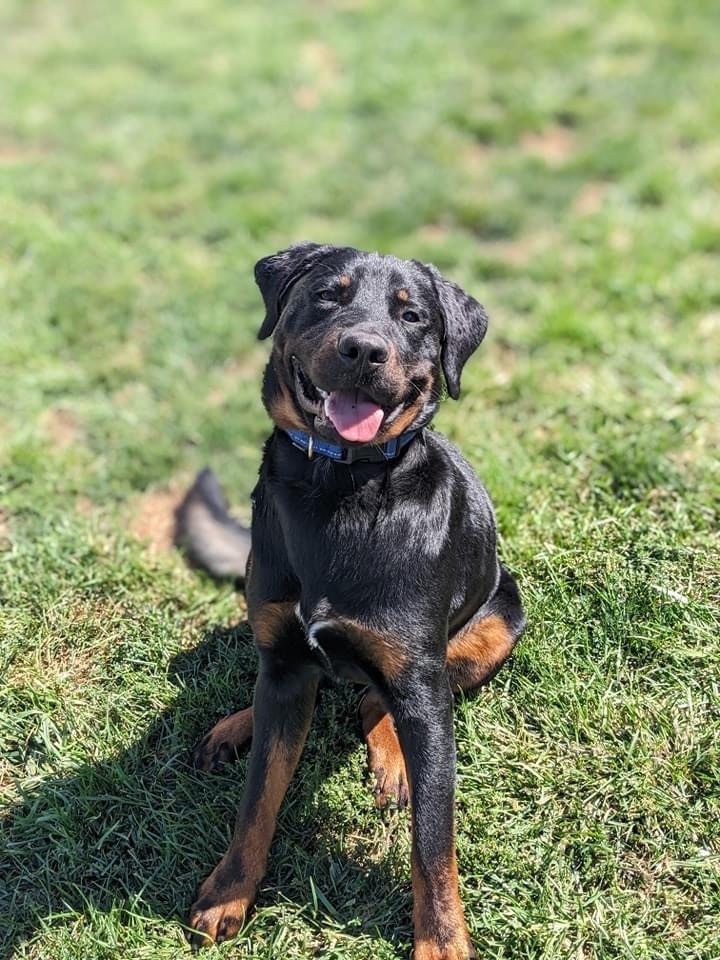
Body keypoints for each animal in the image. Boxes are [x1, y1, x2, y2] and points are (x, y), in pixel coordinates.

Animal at [177, 244, 524, 956]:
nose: (364, 350)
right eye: (328, 296)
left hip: (499, 621)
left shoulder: (420, 685)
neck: (338, 487)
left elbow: (433, 842)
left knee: (373, 698)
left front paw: (442, 942)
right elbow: (258, 799)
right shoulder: (285, 664)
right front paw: (229, 894)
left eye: (413, 316)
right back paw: (236, 725)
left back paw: (391, 758)